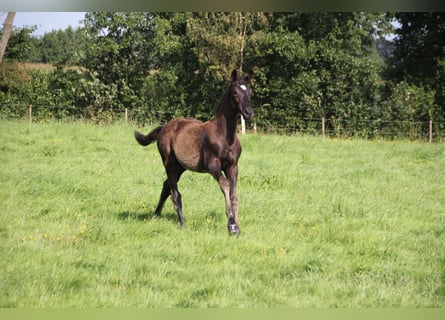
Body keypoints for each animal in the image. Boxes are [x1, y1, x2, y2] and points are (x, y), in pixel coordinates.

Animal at [134, 69, 253, 235]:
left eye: (250, 91)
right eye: (235, 92)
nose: (249, 112)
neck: (225, 135)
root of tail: (164, 127)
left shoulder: (233, 166)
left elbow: (234, 194)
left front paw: (237, 226)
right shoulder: (212, 165)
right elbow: (225, 185)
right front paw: (232, 226)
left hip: (180, 166)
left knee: (166, 186)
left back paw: (156, 216)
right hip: (169, 163)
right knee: (175, 193)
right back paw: (182, 224)